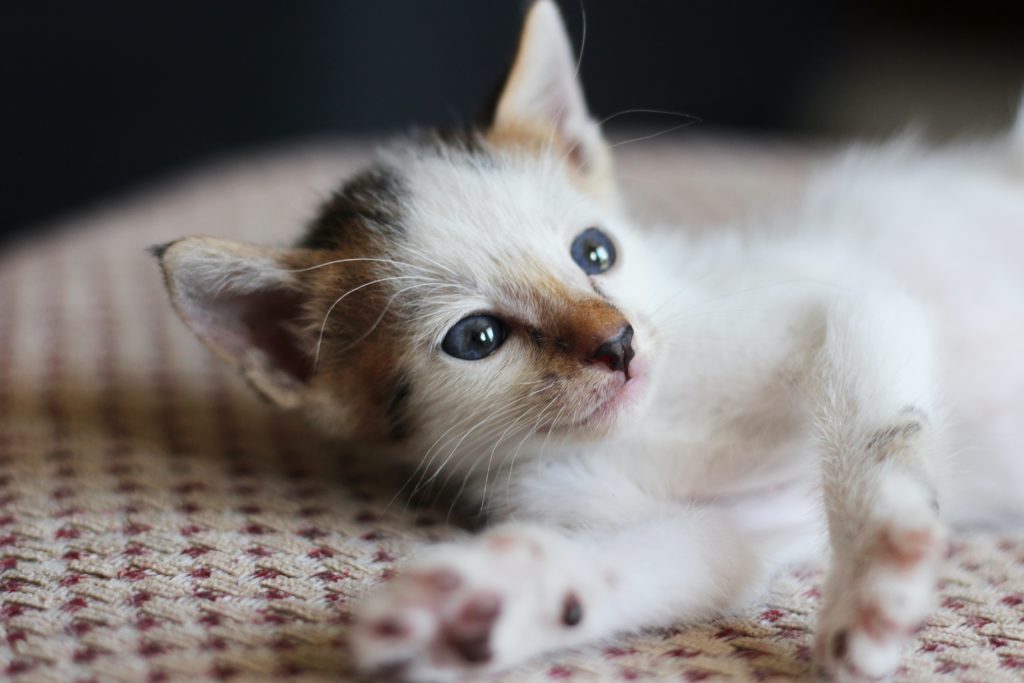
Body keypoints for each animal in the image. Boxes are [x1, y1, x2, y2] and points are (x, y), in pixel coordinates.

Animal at [155, 2, 1024, 679]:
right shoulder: (718, 518)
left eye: (595, 252)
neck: (659, 421)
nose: (619, 343)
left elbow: (874, 431)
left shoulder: (848, 299)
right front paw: (483, 606)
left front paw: (877, 575)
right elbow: (682, 557)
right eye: (477, 336)